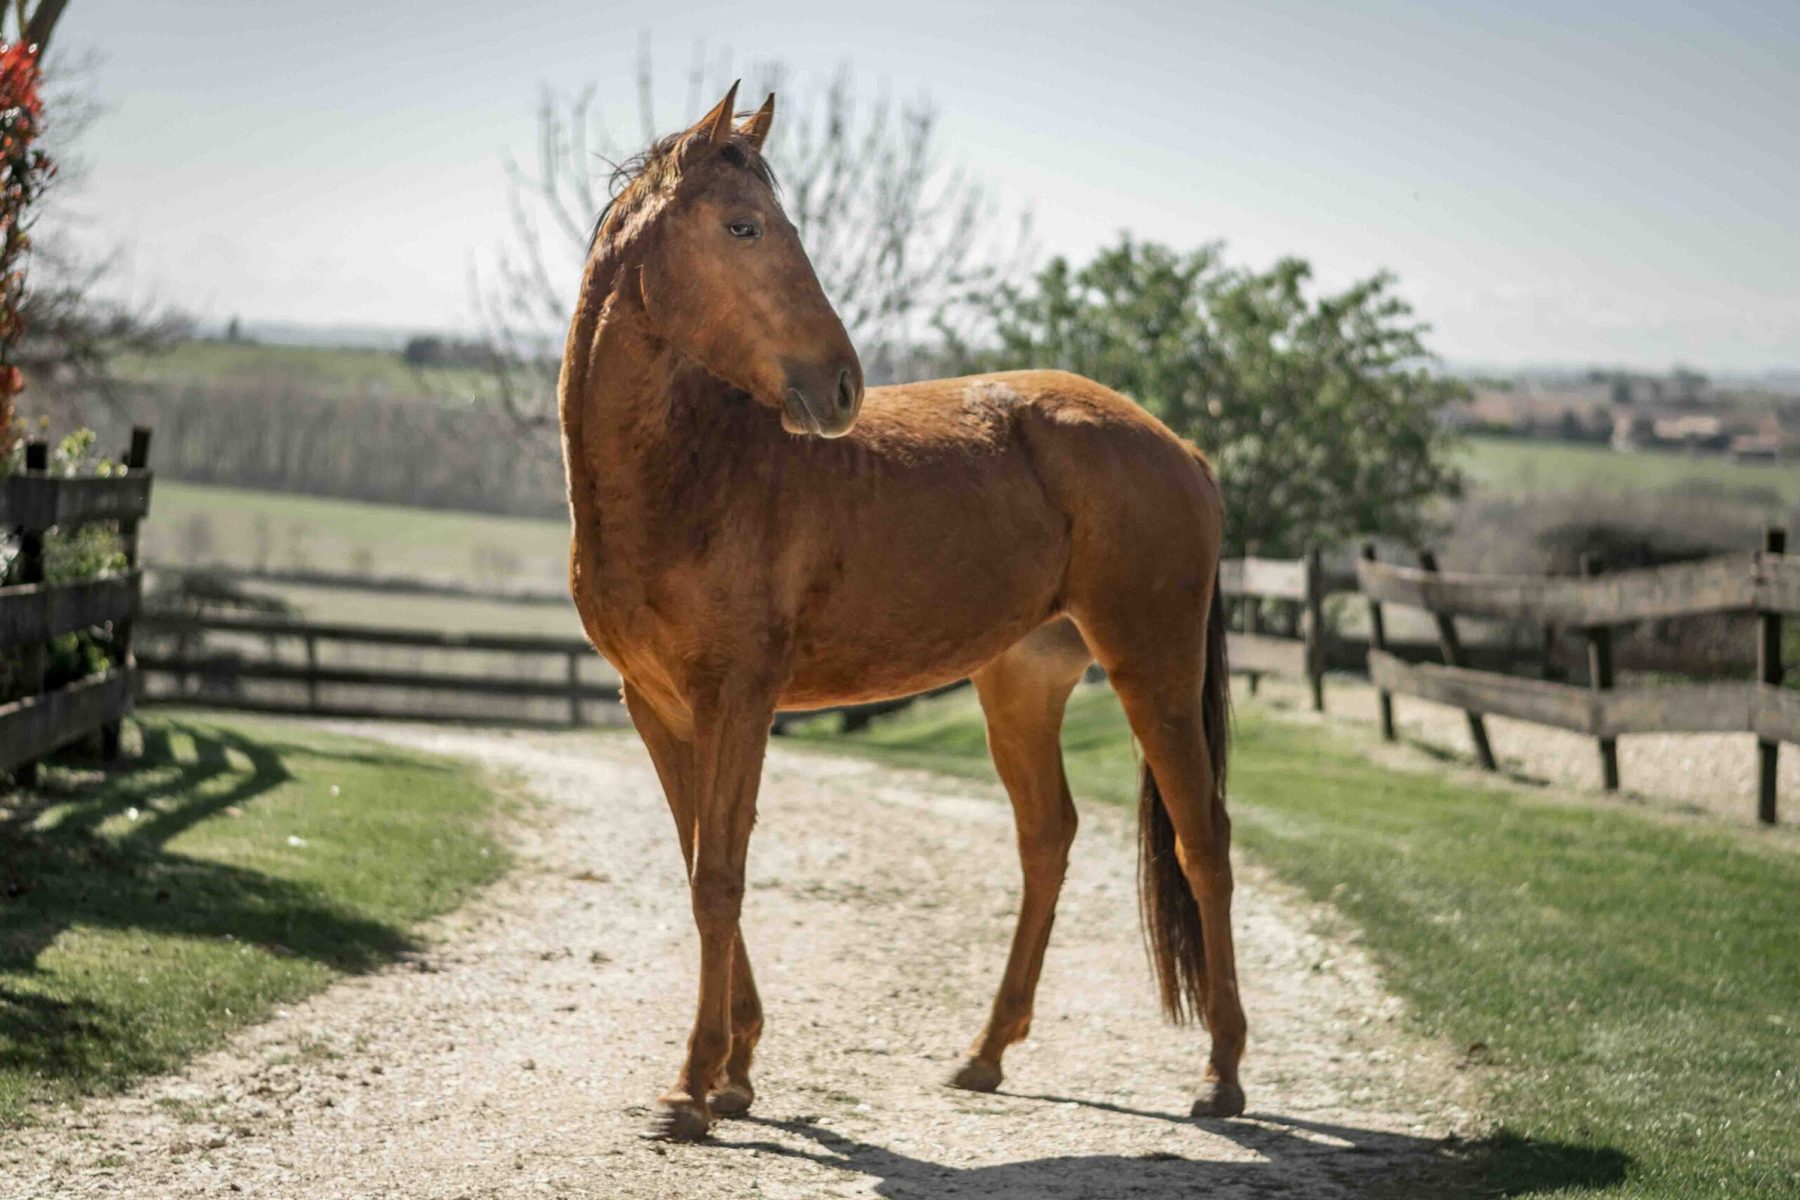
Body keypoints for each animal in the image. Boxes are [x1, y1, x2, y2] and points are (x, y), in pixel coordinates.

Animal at [560, 83, 1244, 1143]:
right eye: (744, 226)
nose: (842, 386)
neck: (689, 472)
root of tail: (1180, 446)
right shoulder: (656, 707)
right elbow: (700, 865)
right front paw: (736, 1071)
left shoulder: (737, 699)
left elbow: (720, 879)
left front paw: (691, 1088)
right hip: (1022, 681)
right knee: (1047, 838)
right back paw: (986, 1053)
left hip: (1154, 671)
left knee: (1201, 840)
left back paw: (1220, 1076)